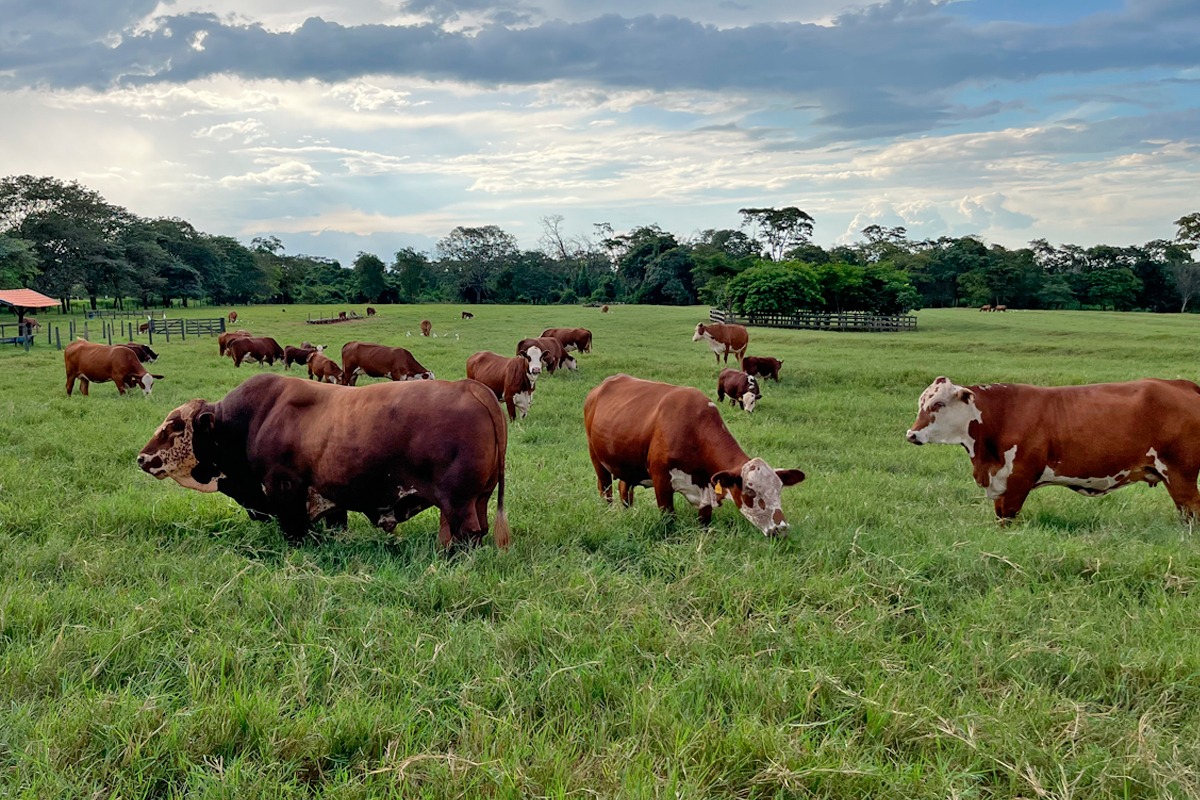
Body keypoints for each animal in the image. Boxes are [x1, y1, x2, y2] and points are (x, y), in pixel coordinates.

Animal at [137, 371, 511, 546]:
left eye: (174, 425)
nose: (142, 458)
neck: (252, 420)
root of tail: (470, 387)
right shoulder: (331, 501)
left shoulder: (286, 491)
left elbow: (294, 531)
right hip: (478, 497)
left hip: (458, 501)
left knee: (465, 533)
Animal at [583, 376, 806, 537]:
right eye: (750, 492)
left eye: (779, 490)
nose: (781, 529)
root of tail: (599, 387)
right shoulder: (661, 480)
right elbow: (668, 519)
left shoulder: (706, 488)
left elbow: (704, 522)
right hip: (596, 458)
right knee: (605, 488)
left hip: (627, 464)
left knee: (624, 488)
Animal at [902, 379, 1200, 522]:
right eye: (921, 402)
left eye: (938, 404)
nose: (911, 434)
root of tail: (1181, 384)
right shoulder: (1002, 481)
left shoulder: (1018, 481)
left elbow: (1007, 518)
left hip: (1180, 475)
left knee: (1192, 512)